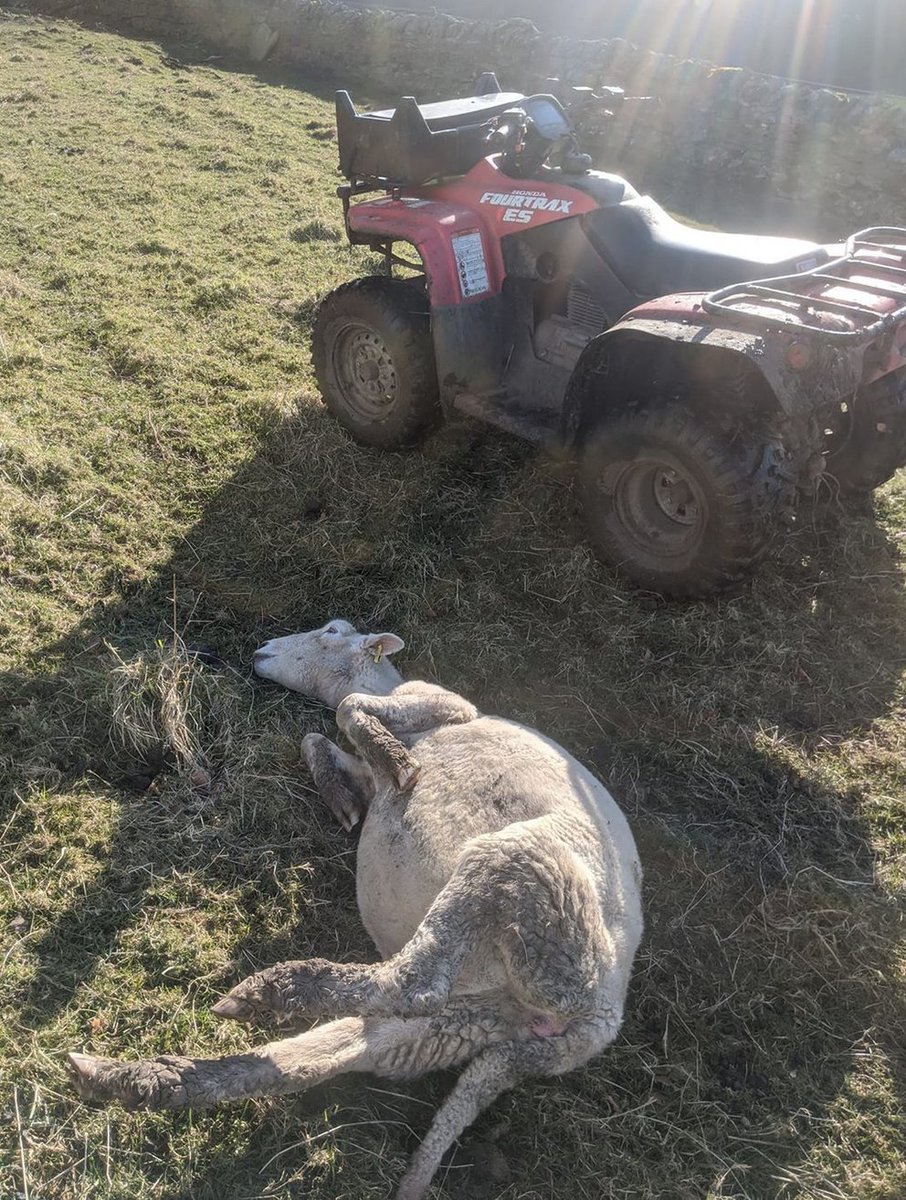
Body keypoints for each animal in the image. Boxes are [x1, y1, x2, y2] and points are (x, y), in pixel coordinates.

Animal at [68, 619, 644, 1200]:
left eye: (330, 631)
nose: (262, 650)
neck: (391, 689)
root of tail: (594, 1024)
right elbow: (315, 738)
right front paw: (345, 800)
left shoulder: (445, 703)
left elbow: (348, 711)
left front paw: (400, 765)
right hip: (462, 1022)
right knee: (332, 1052)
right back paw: (136, 1079)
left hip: (525, 874)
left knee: (415, 982)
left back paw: (277, 989)